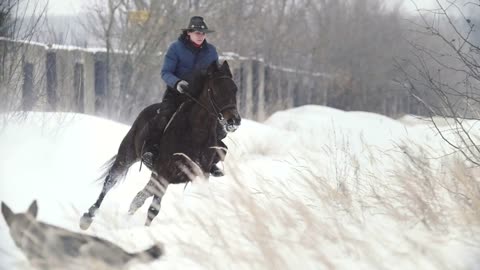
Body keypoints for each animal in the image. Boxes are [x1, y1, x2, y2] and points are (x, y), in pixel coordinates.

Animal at [80, 60, 242, 229]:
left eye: (234, 89)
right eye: (214, 90)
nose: (234, 121)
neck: (196, 133)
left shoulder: (200, 176)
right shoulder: (164, 174)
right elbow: (153, 209)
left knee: (138, 197)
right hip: (128, 154)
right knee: (110, 181)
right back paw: (88, 216)